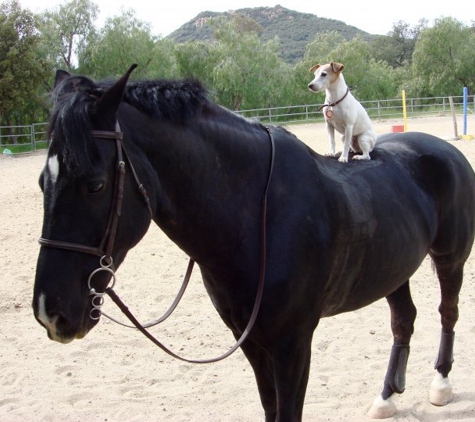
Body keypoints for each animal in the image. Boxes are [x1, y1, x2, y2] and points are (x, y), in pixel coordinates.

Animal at [33, 66, 475, 418]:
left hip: (450, 259)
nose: (50, 312)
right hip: (394, 268)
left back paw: (441, 384)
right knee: (404, 320)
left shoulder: (293, 342)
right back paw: (386, 398)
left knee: (447, 312)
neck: (256, 218)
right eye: (42, 181)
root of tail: (445, 150)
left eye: (95, 184)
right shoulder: (251, 340)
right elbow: (270, 407)